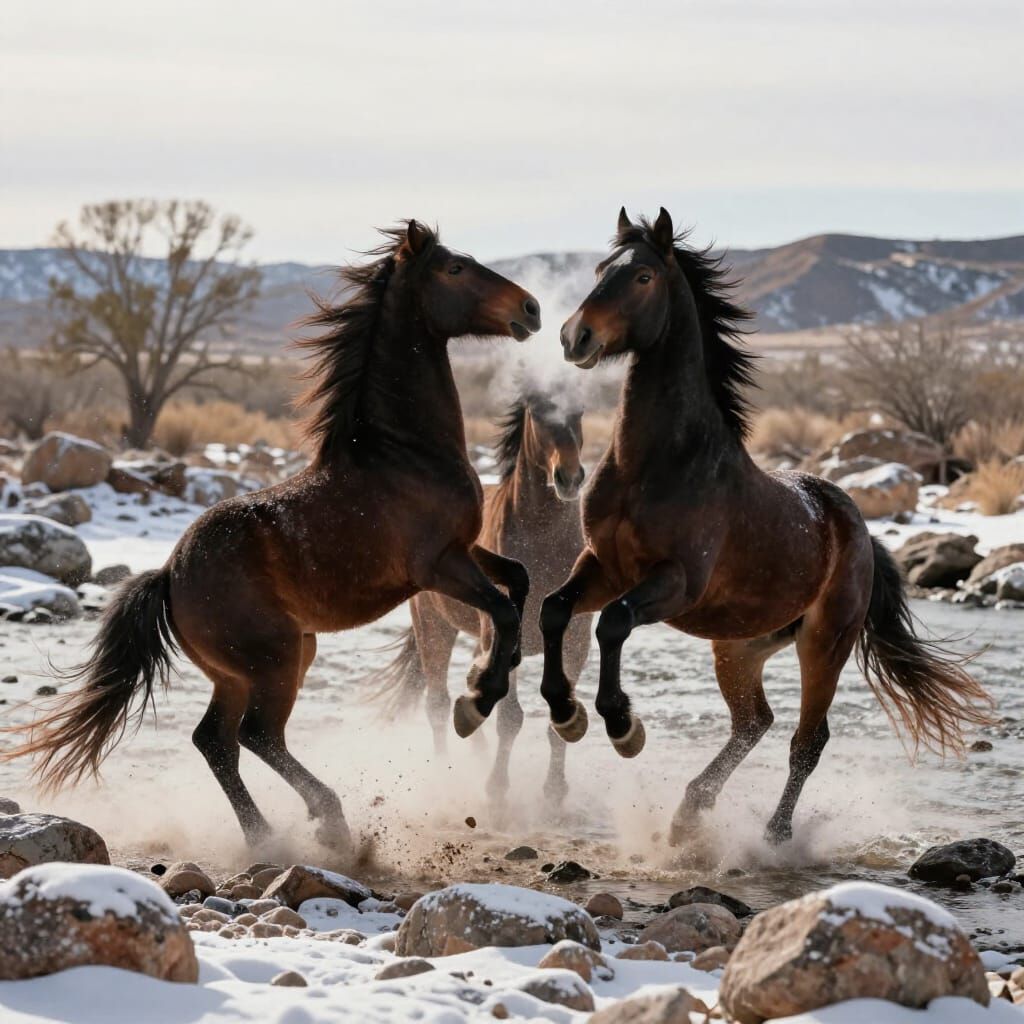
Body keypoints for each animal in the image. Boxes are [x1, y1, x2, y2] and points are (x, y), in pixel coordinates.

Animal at [6, 220, 542, 848]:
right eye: (454, 269)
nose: (530, 309)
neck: (404, 453)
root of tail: (169, 574)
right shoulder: (440, 566)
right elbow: (501, 609)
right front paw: (474, 702)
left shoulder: (468, 549)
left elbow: (519, 582)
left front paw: (490, 676)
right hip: (278, 658)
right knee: (255, 735)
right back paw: (328, 820)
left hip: (244, 670)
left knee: (216, 741)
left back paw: (263, 835)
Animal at [372, 389, 590, 806]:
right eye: (539, 412)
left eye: (581, 411)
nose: (570, 478)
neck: (544, 539)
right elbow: (511, 717)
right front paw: (497, 790)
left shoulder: (575, 641)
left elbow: (559, 715)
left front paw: (554, 795)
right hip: (435, 628)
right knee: (437, 704)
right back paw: (446, 773)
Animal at [462, 207, 993, 844]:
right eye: (598, 270)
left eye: (642, 276)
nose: (574, 337)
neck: (660, 464)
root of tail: (859, 529)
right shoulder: (603, 566)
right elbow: (555, 611)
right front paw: (570, 714)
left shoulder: (675, 582)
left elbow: (613, 624)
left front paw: (621, 726)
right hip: (739, 647)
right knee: (753, 722)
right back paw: (690, 811)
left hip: (824, 643)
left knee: (806, 740)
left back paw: (774, 837)